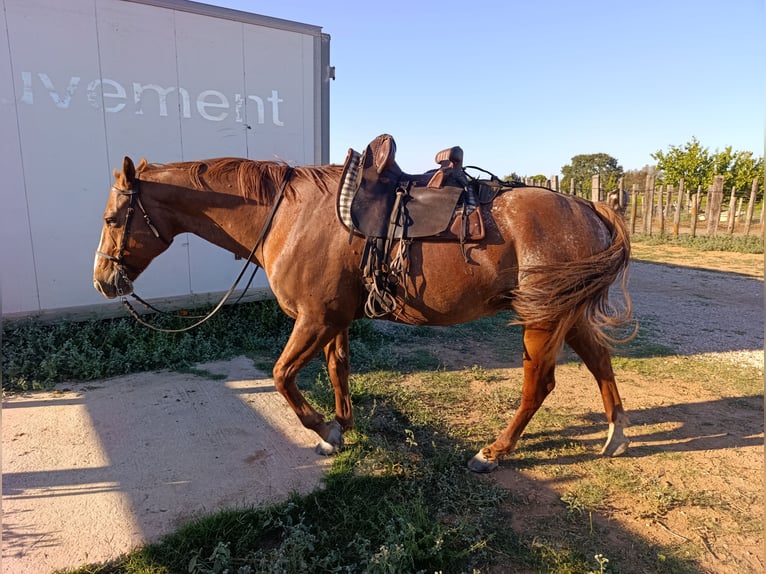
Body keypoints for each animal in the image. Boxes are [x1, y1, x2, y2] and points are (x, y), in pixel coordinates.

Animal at [93, 148, 634, 473]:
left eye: (114, 217)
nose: (102, 281)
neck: (290, 216)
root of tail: (587, 207)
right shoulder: (333, 320)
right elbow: (338, 369)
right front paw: (339, 429)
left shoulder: (314, 320)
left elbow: (281, 376)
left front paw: (324, 428)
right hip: (567, 315)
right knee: (599, 361)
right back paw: (615, 436)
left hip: (543, 321)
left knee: (538, 385)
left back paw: (493, 451)